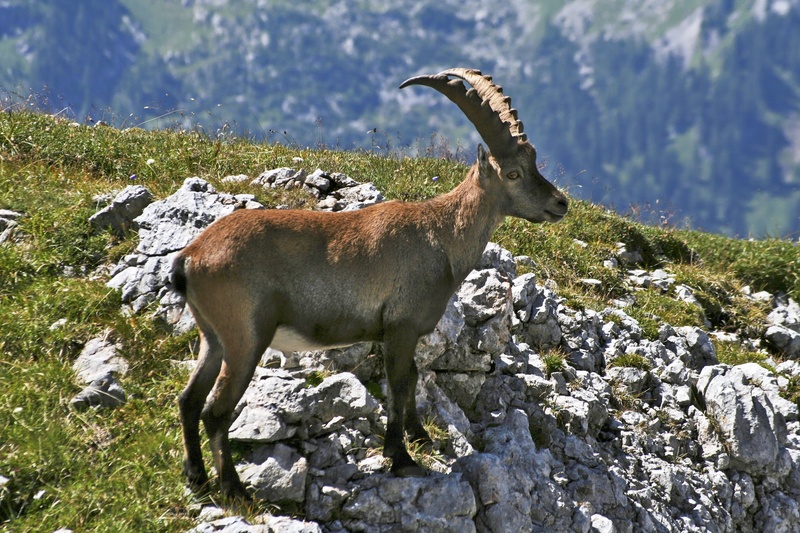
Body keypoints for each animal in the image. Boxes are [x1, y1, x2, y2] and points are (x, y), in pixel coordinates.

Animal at [171, 68, 569, 500]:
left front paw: (420, 437)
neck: (440, 235)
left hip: (213, 337)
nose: (561, 203)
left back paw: (195, 476)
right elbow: (398, 384)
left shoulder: (400, 332)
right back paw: (235, 489)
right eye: (513, 173)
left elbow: (412, 379)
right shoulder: (401, 327)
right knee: (216, 410)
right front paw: (402, 458)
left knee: (189, 400)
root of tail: (190, 257)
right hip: (245, 337)